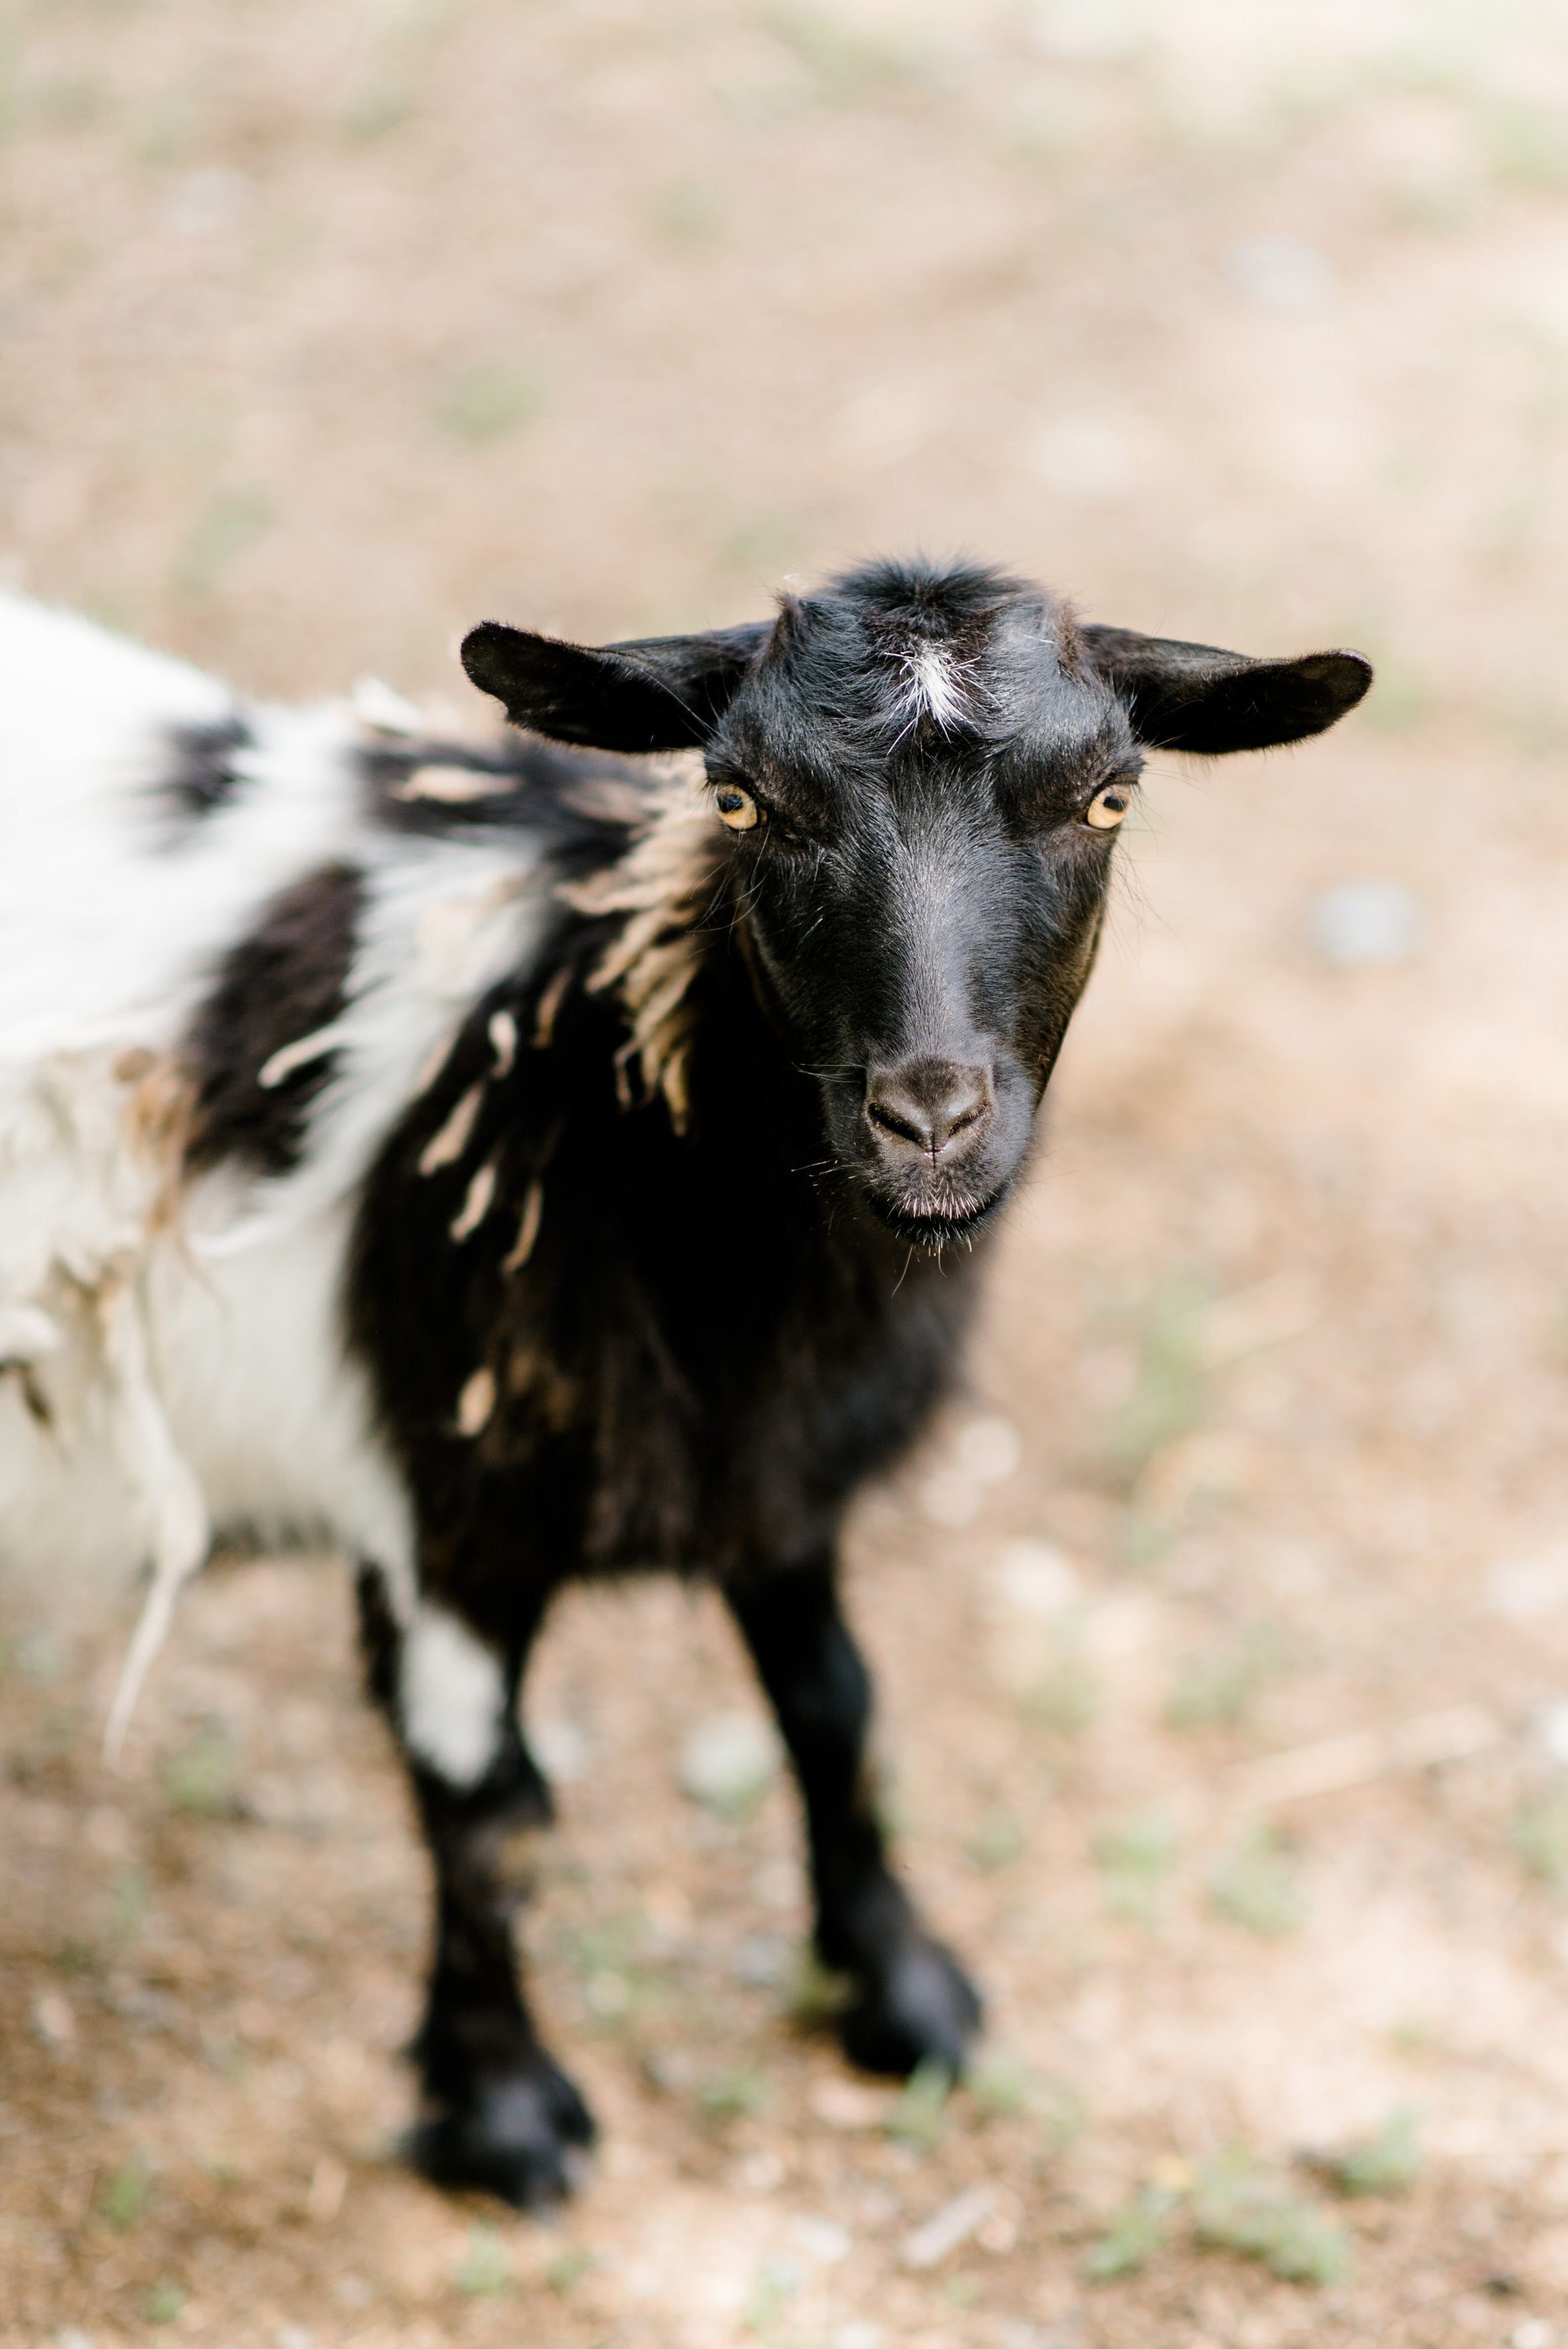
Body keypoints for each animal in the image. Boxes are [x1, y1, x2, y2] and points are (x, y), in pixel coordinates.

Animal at [0, 561, 1370, 2205]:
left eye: (1109, 796)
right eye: (735, 799)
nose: (929, 1119)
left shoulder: (775, 1485)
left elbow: (837, 1710)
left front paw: (901, 1991)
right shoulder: (441, 1511)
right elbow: (489, 1810)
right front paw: (502, 2109)